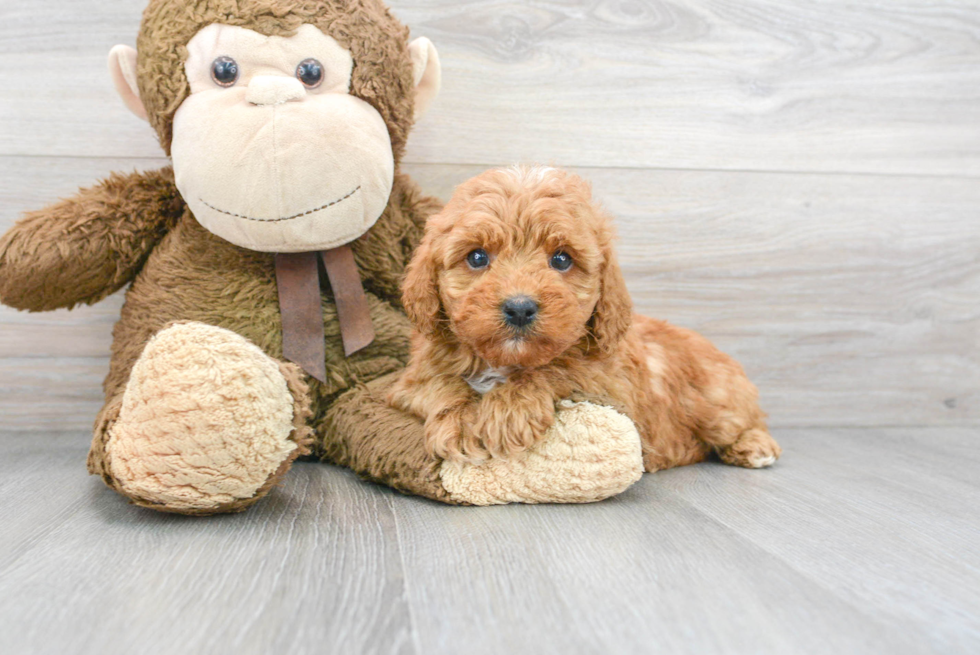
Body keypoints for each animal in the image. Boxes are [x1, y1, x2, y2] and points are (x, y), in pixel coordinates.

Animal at [390, 164, 780, 472]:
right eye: (476, 257)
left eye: (562, 259)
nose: (519, 307)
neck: (504, 361)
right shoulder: (409, 381)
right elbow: (440, 383)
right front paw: (460, 422)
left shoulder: (609, 385)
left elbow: (557, 369)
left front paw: (508, 410)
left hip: (718, 402)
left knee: (747, 420)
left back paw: (756, 447)